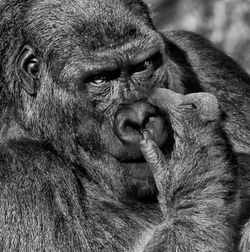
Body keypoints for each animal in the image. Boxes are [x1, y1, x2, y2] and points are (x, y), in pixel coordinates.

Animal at [0, 0, 249, 251]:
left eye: (143, 66)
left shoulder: (199, 55)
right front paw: (195, 169)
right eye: (99, 79)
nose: (139, 118)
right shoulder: (19, 171)